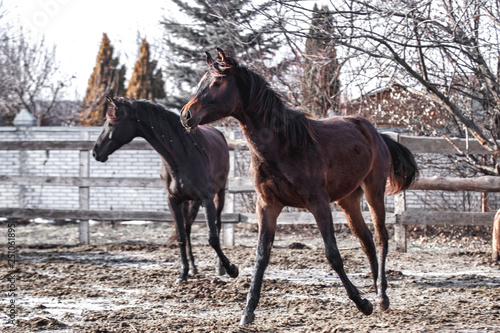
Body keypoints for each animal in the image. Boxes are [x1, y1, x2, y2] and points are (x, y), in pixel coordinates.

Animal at [94, 98, 242, 280]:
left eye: (111, 122)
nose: (95, 152)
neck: (181, 157)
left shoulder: (207, 200)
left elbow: (212, 238)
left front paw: (232, 269)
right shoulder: (173, 201)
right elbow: (180, 236)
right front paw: (183, 273)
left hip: (218, 196)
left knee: (218, 224)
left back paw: (219, 267)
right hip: (190, 202)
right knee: (187, 228)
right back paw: (194, 267)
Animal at [181, 49, 418, 324]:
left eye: (217, 83)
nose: (185, 115)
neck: (283, 145)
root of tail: (376, 133)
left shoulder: (318, 203)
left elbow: (333, 255)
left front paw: (362, 304)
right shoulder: (267, 206)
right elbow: (261, 256)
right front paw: (248, 311)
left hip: (374, 192)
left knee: (380, 238)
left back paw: (381, 296)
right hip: (348, 200)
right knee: (366, 240)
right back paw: (375, 288)